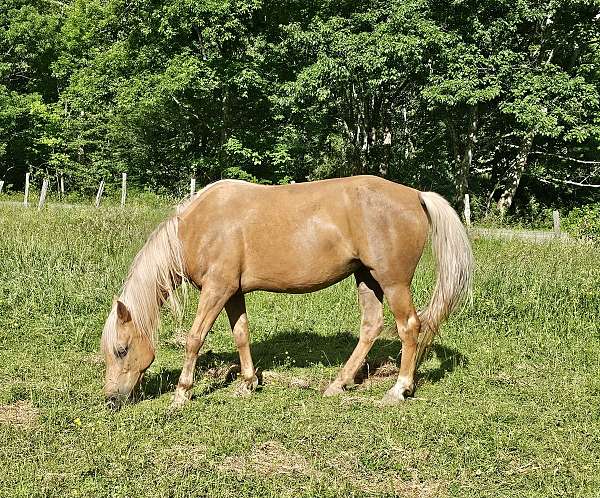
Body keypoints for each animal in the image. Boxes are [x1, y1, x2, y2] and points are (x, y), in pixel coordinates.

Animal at [101, 175, 472, 408]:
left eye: (121, 349)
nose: (111, 400)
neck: (198, 226)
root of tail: (416, 195)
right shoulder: (232, 292)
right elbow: (241, 334)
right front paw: (247, 384)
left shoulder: (216, 290)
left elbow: (194, 338)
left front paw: (182, 394)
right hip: (366, 278)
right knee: (371, 326)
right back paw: (337, 384)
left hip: (393, 282)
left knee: (409, 326)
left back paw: (398, 390)